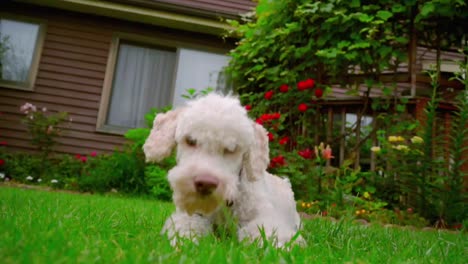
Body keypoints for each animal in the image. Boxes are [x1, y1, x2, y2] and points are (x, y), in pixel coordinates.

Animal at [144, 93, 306, 248]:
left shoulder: (265, 217)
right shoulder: (192, 216)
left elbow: (269, 233)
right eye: (190, 140)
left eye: (232, 149)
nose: (205, 184)